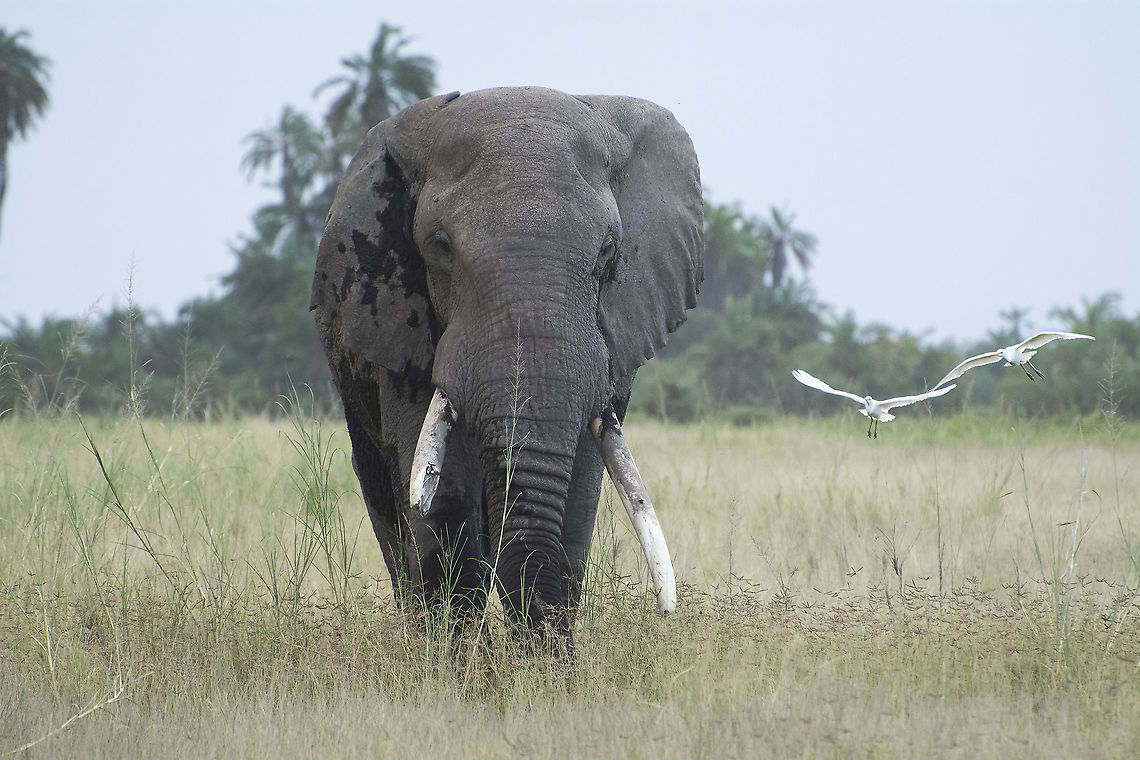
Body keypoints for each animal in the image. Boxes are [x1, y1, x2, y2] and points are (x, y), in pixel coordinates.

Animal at [311, 86, 703, 648]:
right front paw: (457, 664)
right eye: (440, 247)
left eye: (609, 251)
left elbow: (577, 492)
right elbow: (440, 495)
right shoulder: (401, 326)